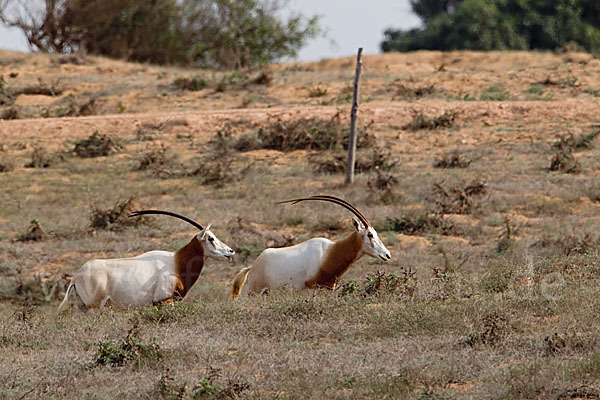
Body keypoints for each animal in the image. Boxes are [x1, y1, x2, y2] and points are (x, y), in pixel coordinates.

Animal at [56, 209, 234, 312]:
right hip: (96, 307)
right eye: (211, 238)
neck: (176, 263)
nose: (230, 251)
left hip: (83, 307)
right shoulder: (164, 300)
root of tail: (76, 276)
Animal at [230, 194, 390, 300]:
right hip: (255, 293)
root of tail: (253, 265)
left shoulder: (328, 288)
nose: (387, 255)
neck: (330, 252)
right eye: (370, 234)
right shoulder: (311, 288)